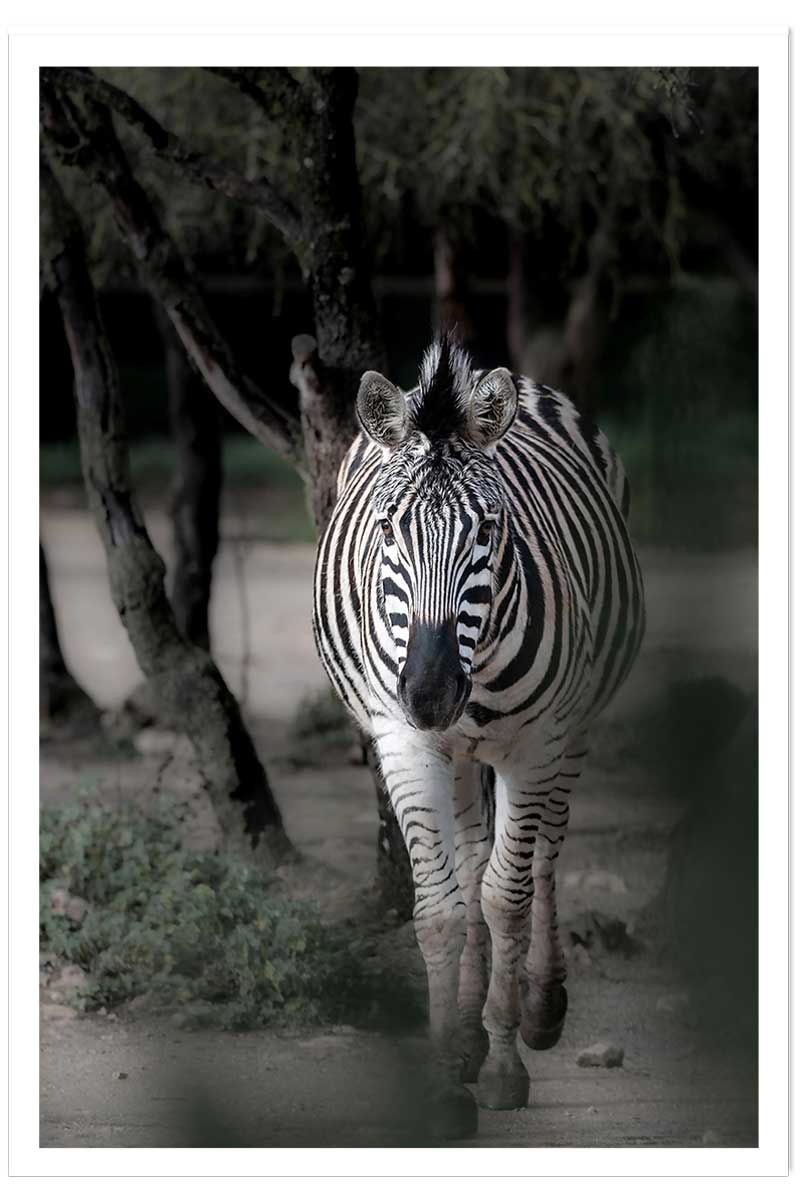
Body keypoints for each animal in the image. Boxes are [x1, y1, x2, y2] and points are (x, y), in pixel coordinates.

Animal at [313, 335, 645, 1138]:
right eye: (387, 529)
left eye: (489, 532)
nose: (432, 692)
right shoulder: (405, 741)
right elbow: (441, 911)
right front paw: (444, 1077)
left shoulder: (535, 745)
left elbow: (507, 899)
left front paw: (502, 1066)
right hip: (458, 755)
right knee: (468, 858)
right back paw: (464, 1033)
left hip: (573, 729)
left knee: (546, 852)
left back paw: (540, 1008)